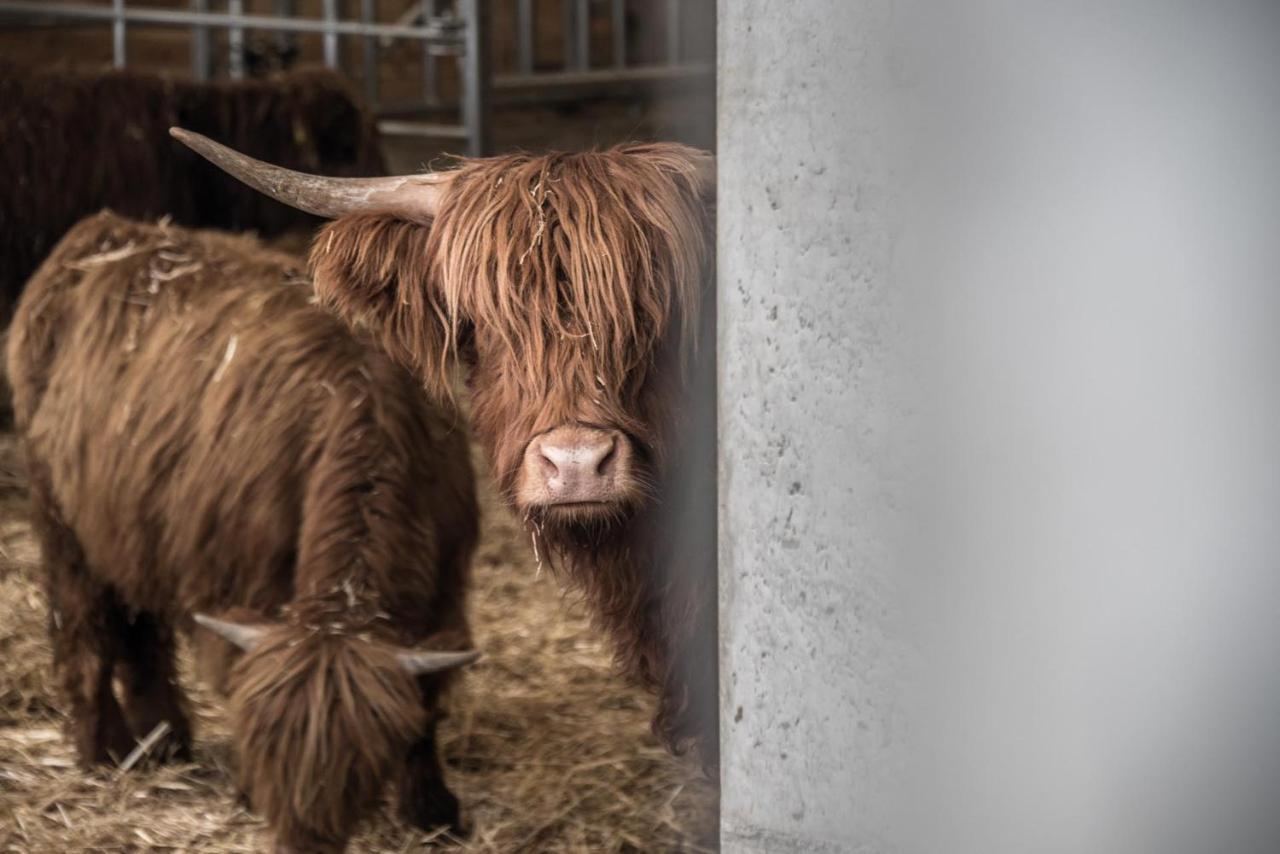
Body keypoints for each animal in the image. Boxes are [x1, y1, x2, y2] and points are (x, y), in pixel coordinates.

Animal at [6, 209, 481, 850]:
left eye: (355, 773)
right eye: (268, 756)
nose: (302, 844)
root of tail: (101, 231)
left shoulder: (443, 598)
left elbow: (426, 712)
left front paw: (434, 811)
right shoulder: (241, 583)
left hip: (130, 523)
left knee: (139, 628)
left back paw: (165, 740)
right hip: (63, 523)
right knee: (83, 629)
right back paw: (105, 750)